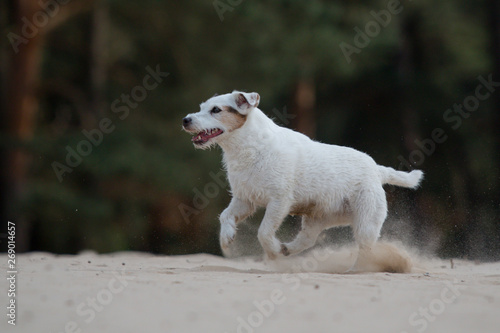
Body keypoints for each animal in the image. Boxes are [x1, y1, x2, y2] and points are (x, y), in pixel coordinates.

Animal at [182, 91, 424, 268]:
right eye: (202, 107)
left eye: (216, 110)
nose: (185, 120)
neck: (250, 147)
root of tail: (377, 170)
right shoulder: (245, 200)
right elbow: (225, 215)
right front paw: (227, 238)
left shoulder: (279, 201)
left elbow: (264, 231)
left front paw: (272, 252)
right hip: (318, 218)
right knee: (308, 239)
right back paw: (288, 249)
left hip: (366, 222)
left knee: (366, 249)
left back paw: (356, 269)